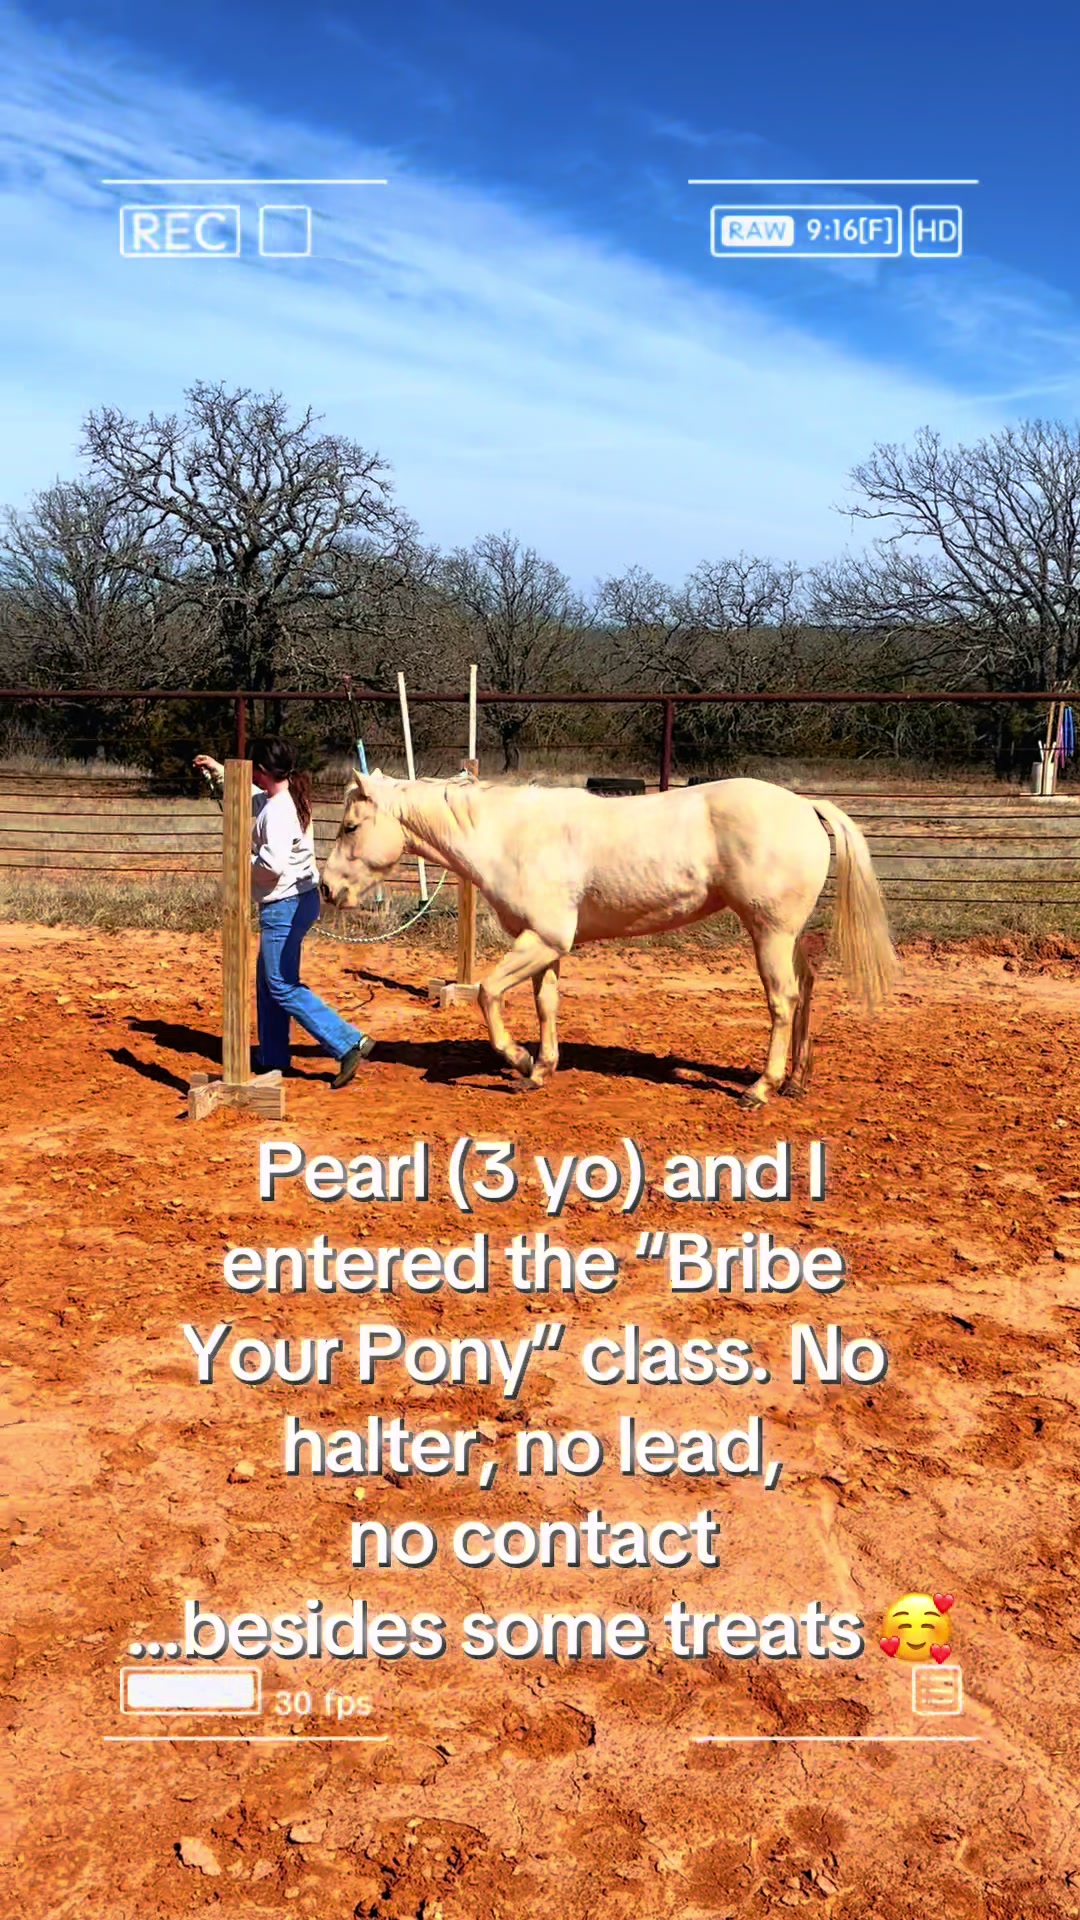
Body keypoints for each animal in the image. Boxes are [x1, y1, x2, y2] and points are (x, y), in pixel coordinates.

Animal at [320, 771, 897, 1108]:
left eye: (350, 827)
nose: (326, 888)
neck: (509, 836)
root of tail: (804, 806)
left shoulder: (542, 939)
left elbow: (487, 993)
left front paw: (518, 1061)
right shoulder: (546, 945)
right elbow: (546, 1006)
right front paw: (540, 1069)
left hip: (770, 933)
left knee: (782, 1001)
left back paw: (761, 1088)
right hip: (785, 934)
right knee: (806, 989)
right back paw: (797, 1080)